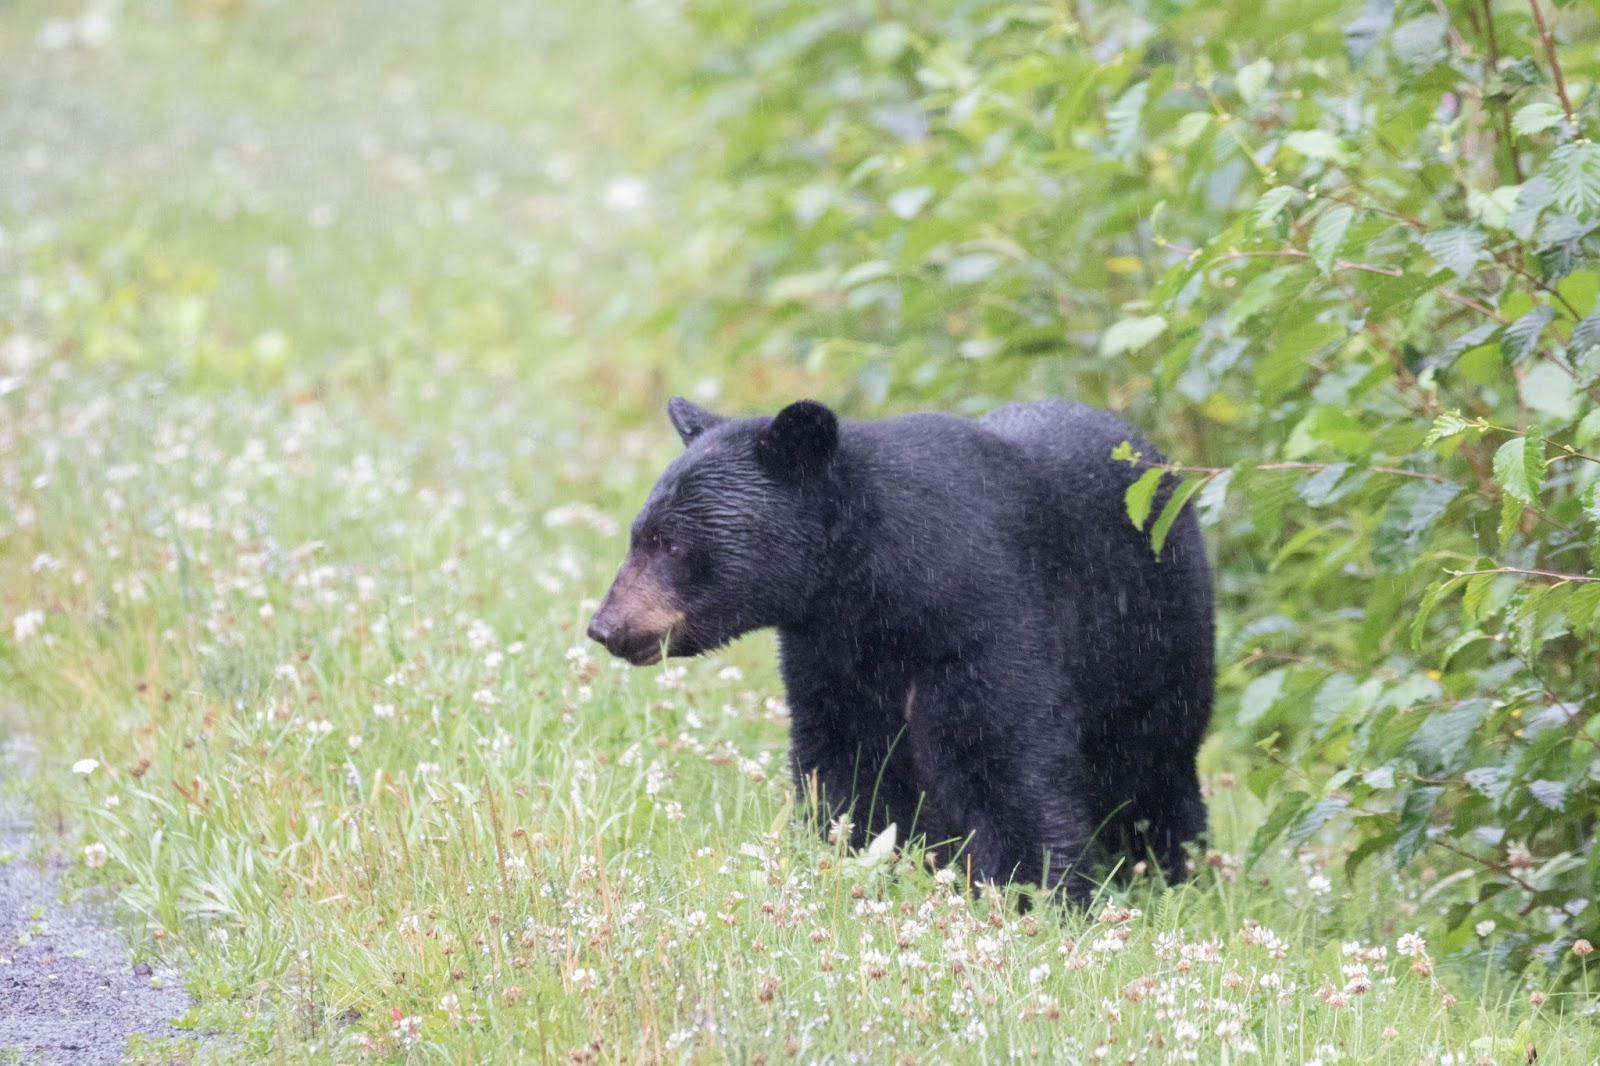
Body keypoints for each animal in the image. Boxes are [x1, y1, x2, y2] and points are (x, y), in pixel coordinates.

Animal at [587, 397, 1213, 900]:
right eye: (638, 534)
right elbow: (844, 759)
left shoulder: (986, 619)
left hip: (1155, 649)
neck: (878, 593)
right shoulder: (829, 651)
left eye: (670, 543)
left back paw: (1174, 869)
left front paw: (1036, 895)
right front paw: (857, 858)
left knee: (1154, 766)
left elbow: (1004, 756)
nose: (605, 626)